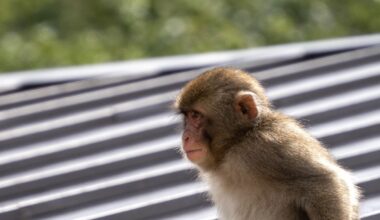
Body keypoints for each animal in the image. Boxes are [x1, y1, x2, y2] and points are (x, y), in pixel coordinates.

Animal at [174, 67, 360, 220]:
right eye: (187, 116)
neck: (237, 141)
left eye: (196, 115)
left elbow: (327, 182)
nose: (185, 137)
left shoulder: (264, 148)